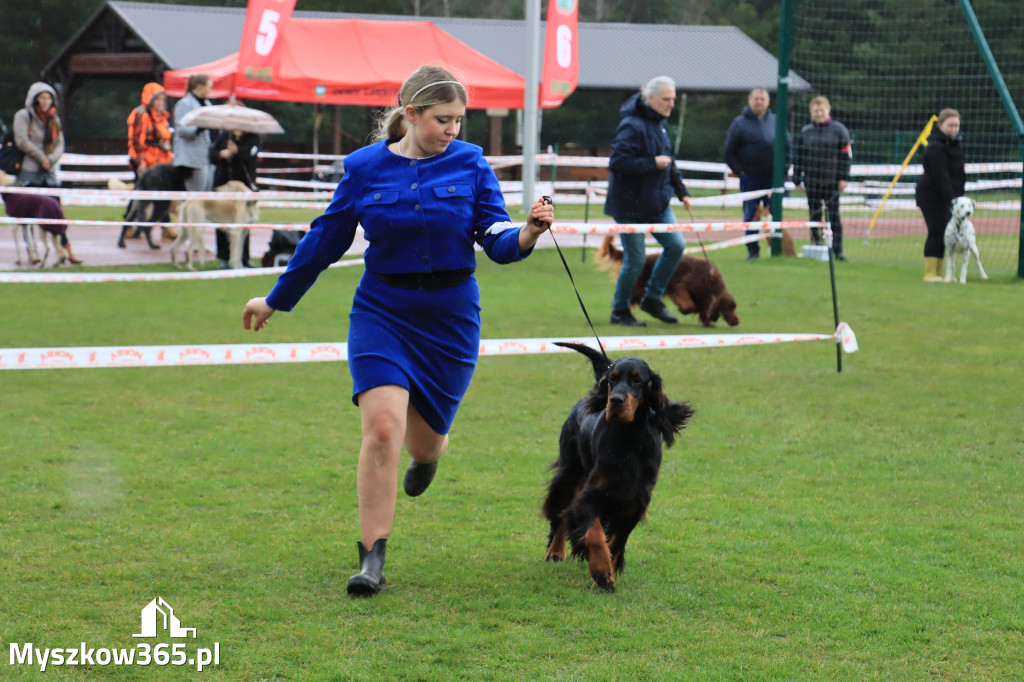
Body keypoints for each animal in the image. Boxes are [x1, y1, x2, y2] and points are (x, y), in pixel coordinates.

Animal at [540, 342, 692, 585]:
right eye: (613, 378)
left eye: (637, 380)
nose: (616, 400)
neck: (629, 438)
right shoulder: (595, 494)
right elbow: (594, 533)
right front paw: (602, 572)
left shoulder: (635, 501)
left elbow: (617, 541)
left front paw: (610, 567)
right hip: (570, 471)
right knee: (560, 511)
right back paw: (555, 552)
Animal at [598, 233, 741, 327]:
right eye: (729, 307)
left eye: (734, 307)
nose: (737, 321)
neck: (711, 281)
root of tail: (646, 258)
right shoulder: (680, 286)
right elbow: (690, 305)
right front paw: (685, 310)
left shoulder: (704, 298)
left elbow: (703, 310)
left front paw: (708, 323)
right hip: (637, 288)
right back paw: (620, 316)